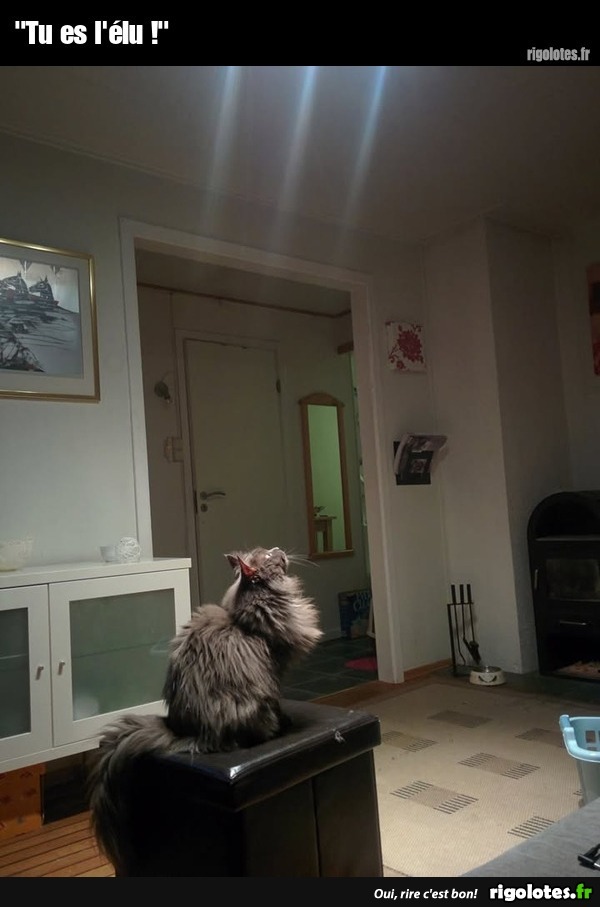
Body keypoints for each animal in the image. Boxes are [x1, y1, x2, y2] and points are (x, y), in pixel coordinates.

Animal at [87, 546, 322, 874]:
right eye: (268, 555)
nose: (279, 549)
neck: (257, 605)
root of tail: (184, 732)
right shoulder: (275, 670)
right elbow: (278, 700)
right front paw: (285, 721)